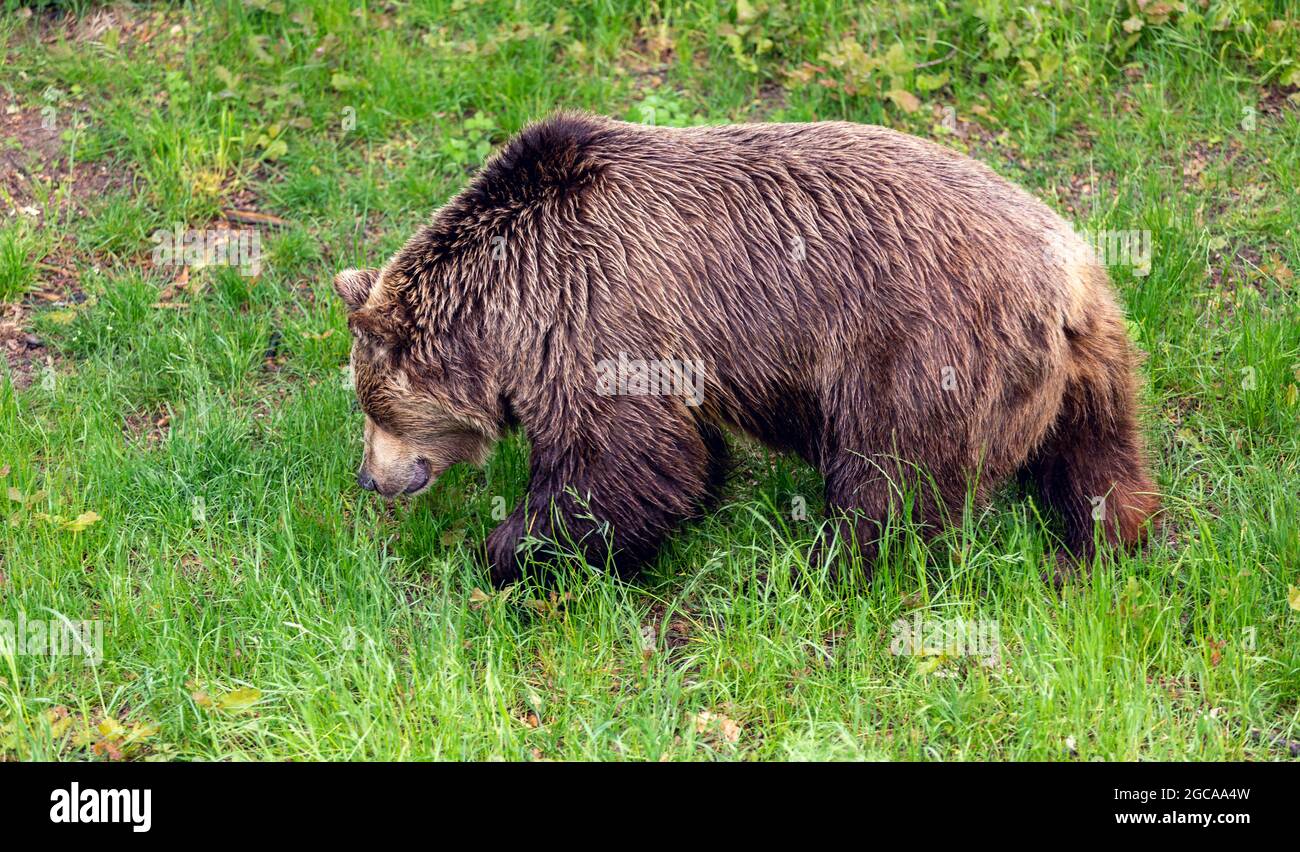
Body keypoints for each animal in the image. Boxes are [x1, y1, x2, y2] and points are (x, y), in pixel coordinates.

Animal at [335, 111, 1160, 587]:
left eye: (375, 407)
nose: (372, 478)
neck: (509, 302)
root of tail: (1068, 279)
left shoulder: (595, 311)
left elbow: (619, 460)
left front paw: (505, 550)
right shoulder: (659, 343)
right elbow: (678, 452)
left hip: (921, 347)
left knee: (890, 475)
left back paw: (827, 563)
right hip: (1096, 365)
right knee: (1098, 459)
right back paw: (1106, 542)